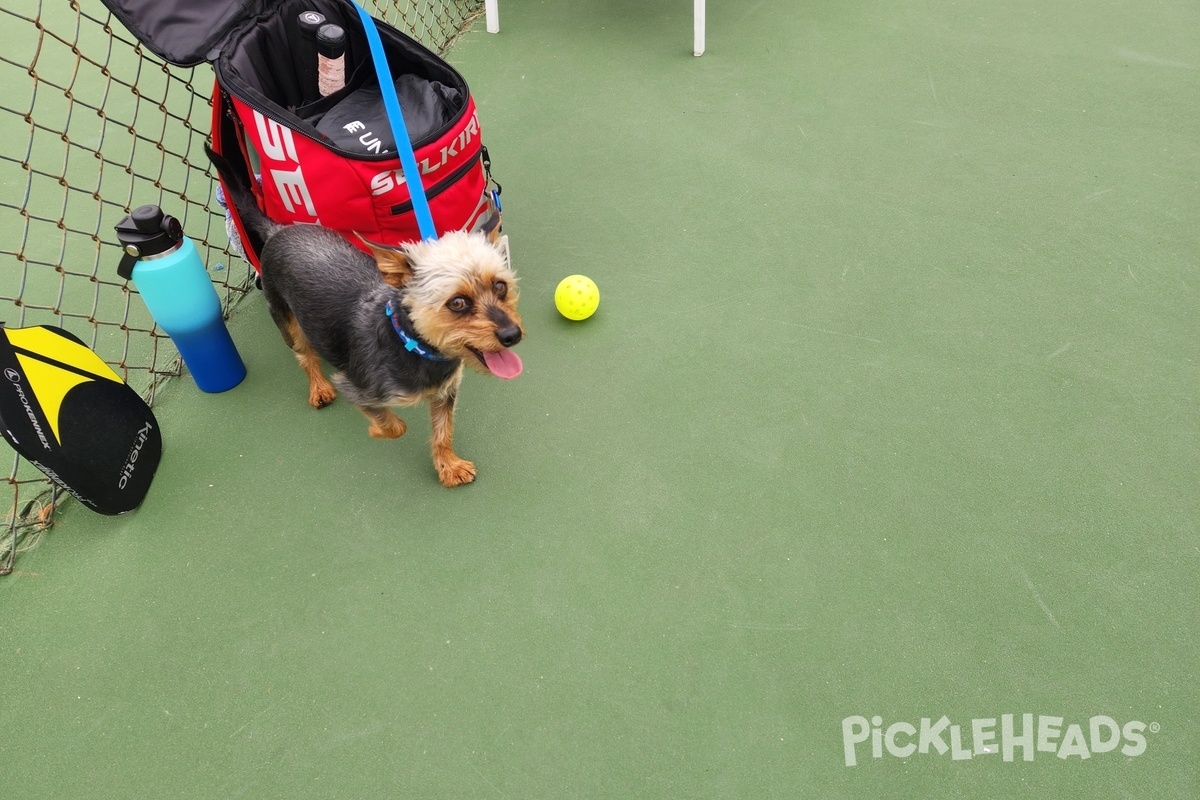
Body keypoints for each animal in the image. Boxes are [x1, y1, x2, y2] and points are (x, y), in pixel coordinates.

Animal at [204, 145, 523, 489]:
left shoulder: (446, 392)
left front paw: (448, 466)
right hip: (285, 317)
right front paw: (376, 429)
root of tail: (278, 230)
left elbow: (443, 432)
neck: (411, 344)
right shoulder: (356, 388)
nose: (512, 335)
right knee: (305, 355)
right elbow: (395, 426)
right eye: (458, 303)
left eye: (501, 286)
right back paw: (318, 388)